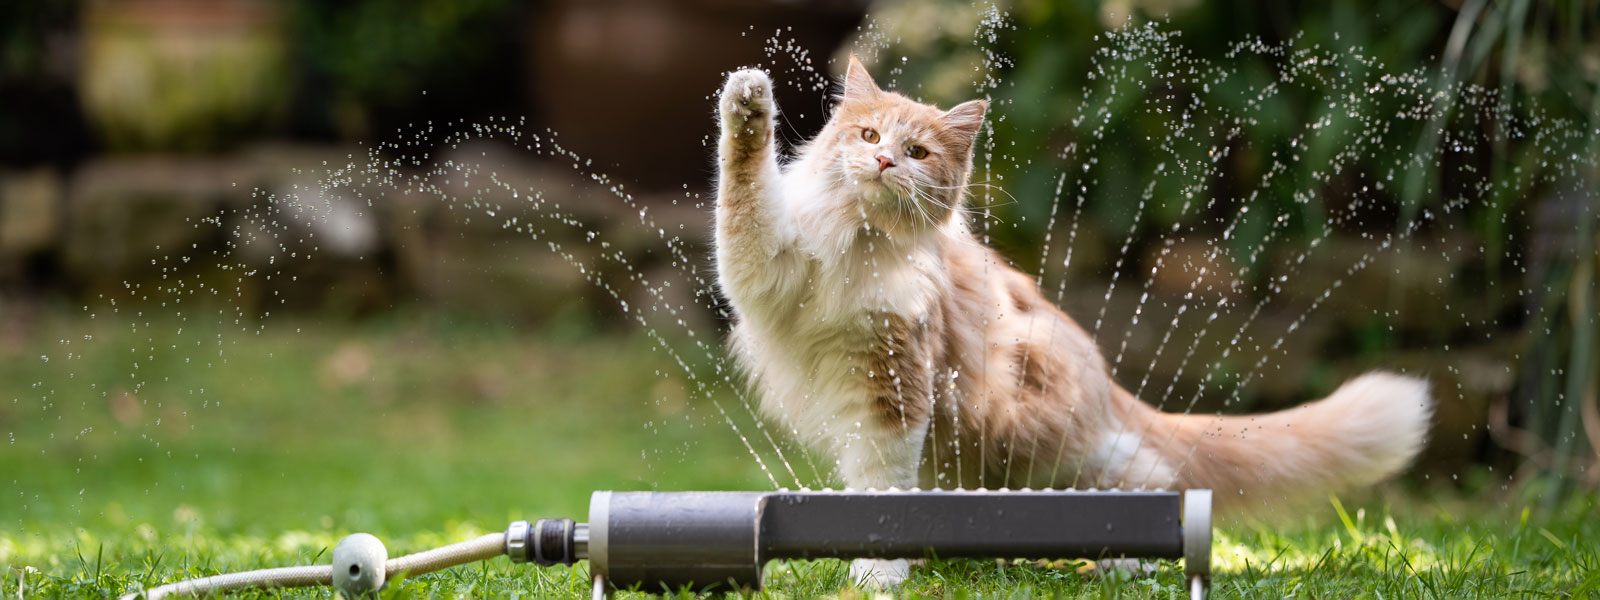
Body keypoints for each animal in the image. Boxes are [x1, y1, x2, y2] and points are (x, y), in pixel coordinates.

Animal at [713, 57, 1440, 588]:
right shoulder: (765, 269)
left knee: (1152, 477)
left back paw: (1133, 560)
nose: (885, 162)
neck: (858, 242)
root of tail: (1105, 380)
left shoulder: (895, 385)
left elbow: (881, 485)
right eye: (867, 137)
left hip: (1039, 440)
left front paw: (879, 573)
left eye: (916, 151)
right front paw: (747, 105)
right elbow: (741, 193)